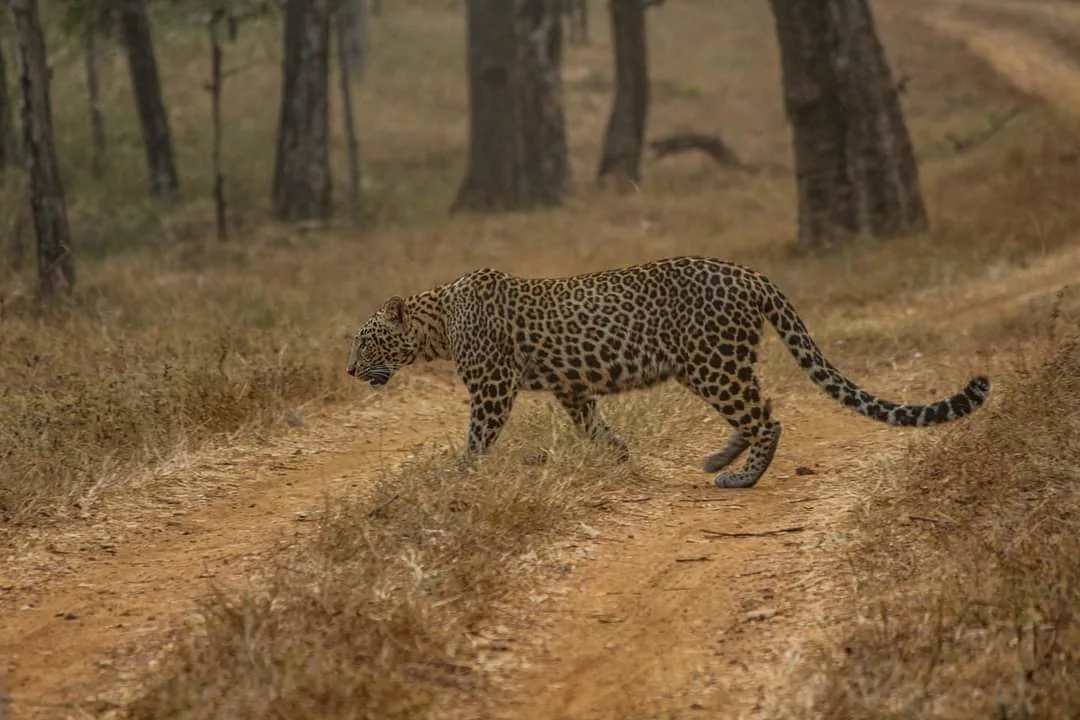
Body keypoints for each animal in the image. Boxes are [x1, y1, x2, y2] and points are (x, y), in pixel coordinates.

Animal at [346, 256, 991, 488]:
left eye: (366, 338)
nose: (351, 371)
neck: (437, 322)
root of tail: (751, 274)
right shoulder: (571, 388)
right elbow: (596, 428)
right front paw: (624, 461)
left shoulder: (492, 387)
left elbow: (479, 436)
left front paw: (459, 477)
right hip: (718, 364)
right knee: (755, 413)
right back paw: (719, 460)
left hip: (712, 363)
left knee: (766, 417)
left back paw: (740, 477)